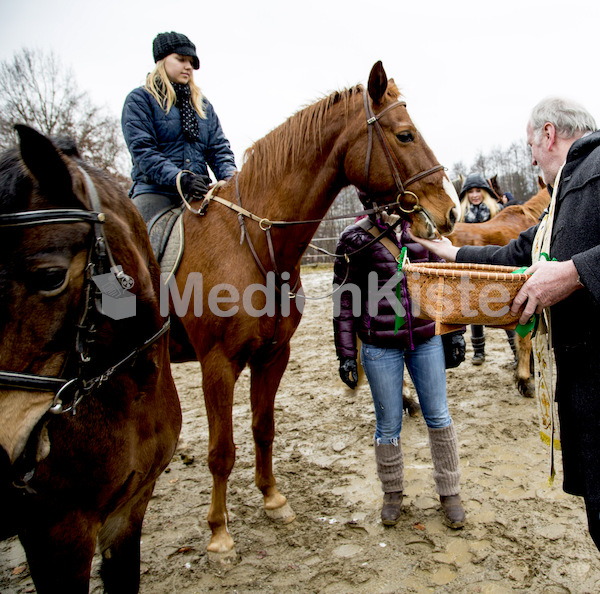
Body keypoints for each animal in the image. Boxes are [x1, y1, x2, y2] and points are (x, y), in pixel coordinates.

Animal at [169, 61, 460, 556]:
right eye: (404, 135)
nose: (450, 212)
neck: (252, 245)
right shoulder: (217, 364)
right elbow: (221, 450)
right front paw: (219, 533)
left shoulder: (273, 354)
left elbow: (263, 428)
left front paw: (272, 499)